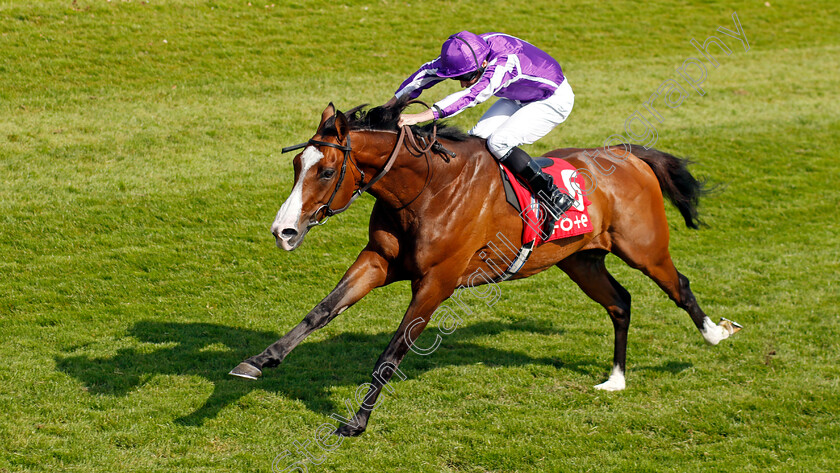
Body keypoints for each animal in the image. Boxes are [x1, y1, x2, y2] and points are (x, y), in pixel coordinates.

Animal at [230, 102, 740, 436]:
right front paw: (258, 361)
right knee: (620, 302)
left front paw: (357, 421)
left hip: (645, 249)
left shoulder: (437, 282)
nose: (283, 231)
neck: (427, 188)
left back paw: (716, 333)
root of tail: (626, 152)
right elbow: (321, 311)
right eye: (297, 164)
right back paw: (615, 378)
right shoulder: (378, 261)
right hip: (581, 259)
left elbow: (392, 352)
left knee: (679, 286)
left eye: (325, 170)